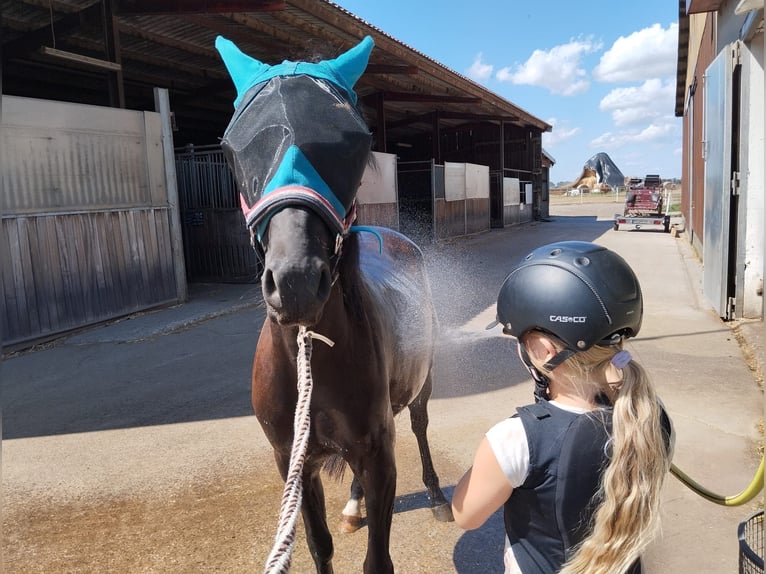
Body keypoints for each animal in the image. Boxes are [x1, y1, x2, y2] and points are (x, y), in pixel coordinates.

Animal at [216, 37, 452, 574]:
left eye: (354, 141)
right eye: (234, 145)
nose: (296, 281)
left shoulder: (380, 453)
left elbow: (377, 560)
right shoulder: (293, 460)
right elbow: (318, 544)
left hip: (422, 386)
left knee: (421, 427)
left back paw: (435, 496)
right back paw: (354, 506)